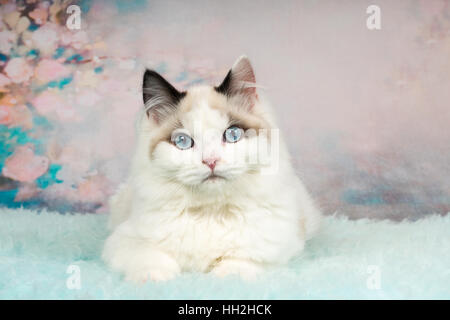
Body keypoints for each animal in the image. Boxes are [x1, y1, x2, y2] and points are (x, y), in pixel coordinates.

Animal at [102, 56, 320, 282]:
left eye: (232, 135)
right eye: (183, 141)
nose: (211, 161)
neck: (211, 213)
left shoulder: (276, 247)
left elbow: (239, 263)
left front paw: (227, 277)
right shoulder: (124, 240)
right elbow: (151, 258)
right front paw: (155, 280)